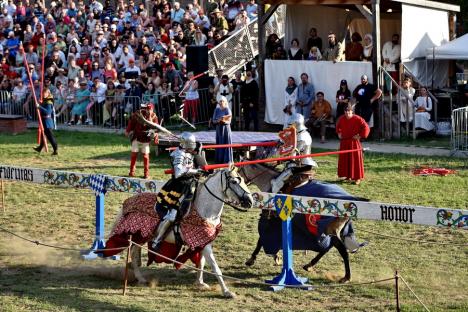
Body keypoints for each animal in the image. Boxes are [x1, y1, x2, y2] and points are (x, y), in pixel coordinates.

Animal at [104, 167, 254, 298]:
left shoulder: (203, 242)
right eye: (234, 182)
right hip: (139, 235)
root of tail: (127, 202)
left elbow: (201, 263)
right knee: (135, 254)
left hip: (140, 237)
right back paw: (141, 279)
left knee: (135, 253)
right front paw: (227, 292)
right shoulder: (204, 244)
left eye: (243, 180)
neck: (205, 210)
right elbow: (215, 267)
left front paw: (200, 283)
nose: (250, 201)